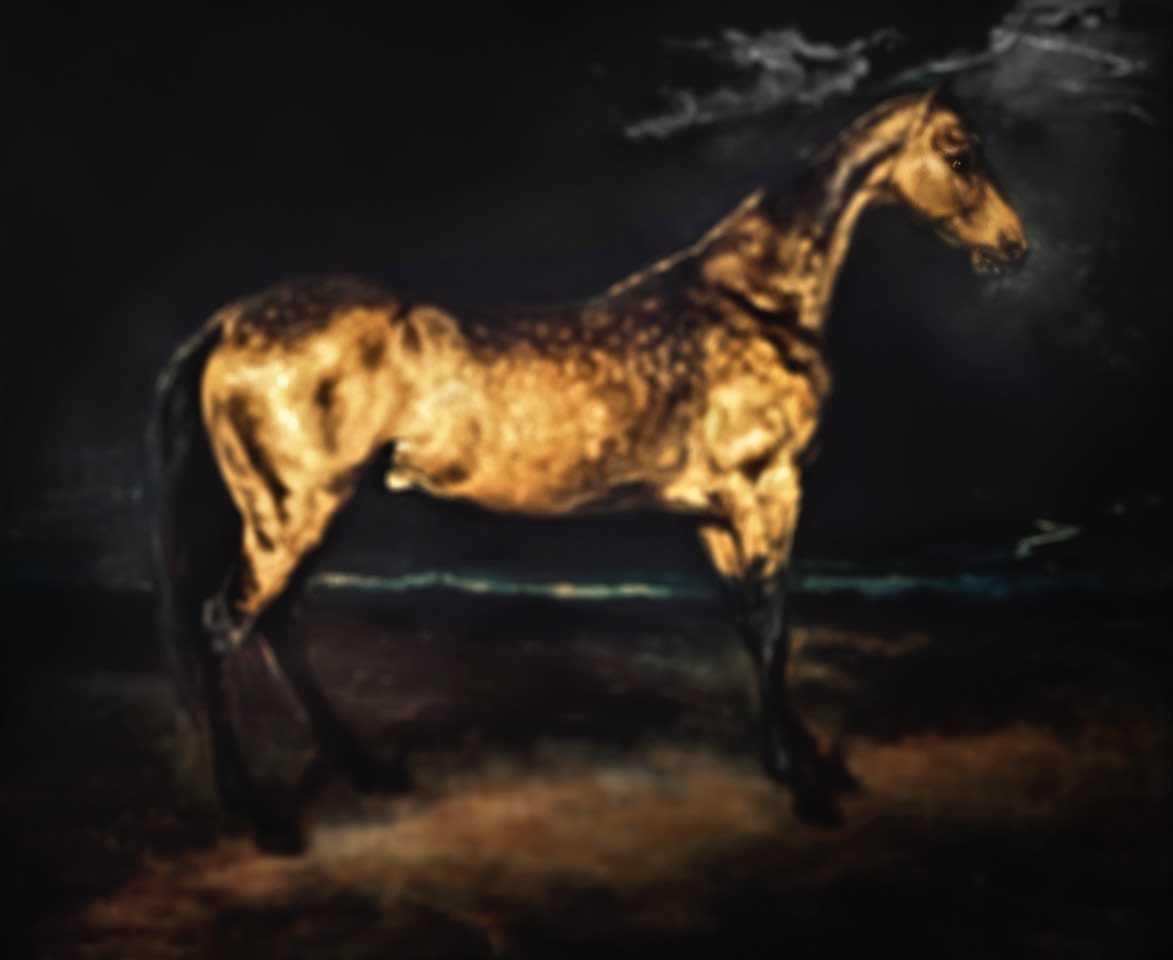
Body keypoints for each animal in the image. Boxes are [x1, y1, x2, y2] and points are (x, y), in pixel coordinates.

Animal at [146, 88, 1028, 853]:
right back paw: (263, 819)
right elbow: (775, 626)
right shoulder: (766, 495)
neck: (755, 305)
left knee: (281, 623)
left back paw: (367, 771)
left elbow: (753, 625)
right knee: (225, 629)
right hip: (290, 512)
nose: (1013, 247)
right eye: (958, 154)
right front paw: (806, 784)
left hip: (308, 513)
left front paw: (804, 761)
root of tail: (229, 322)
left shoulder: (718, 515)